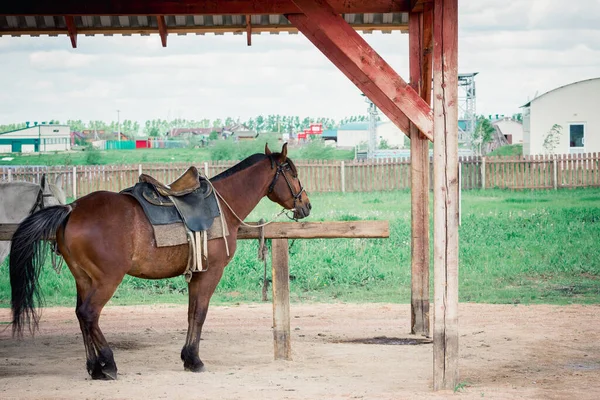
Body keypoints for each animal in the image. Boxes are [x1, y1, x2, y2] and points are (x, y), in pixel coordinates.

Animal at [9, 143, 312, 378]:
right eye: (293, 173)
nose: (306, 205)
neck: (222, 205)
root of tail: (71, 209)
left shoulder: (196, 273)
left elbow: (191, 313)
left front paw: (187, 357)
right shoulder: (210, 272)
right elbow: (200, 314)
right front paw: (194, 360)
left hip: (83, 279)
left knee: (80, 316)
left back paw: (94, 367)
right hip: (106, 280)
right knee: (89, 313)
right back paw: (108, 364)